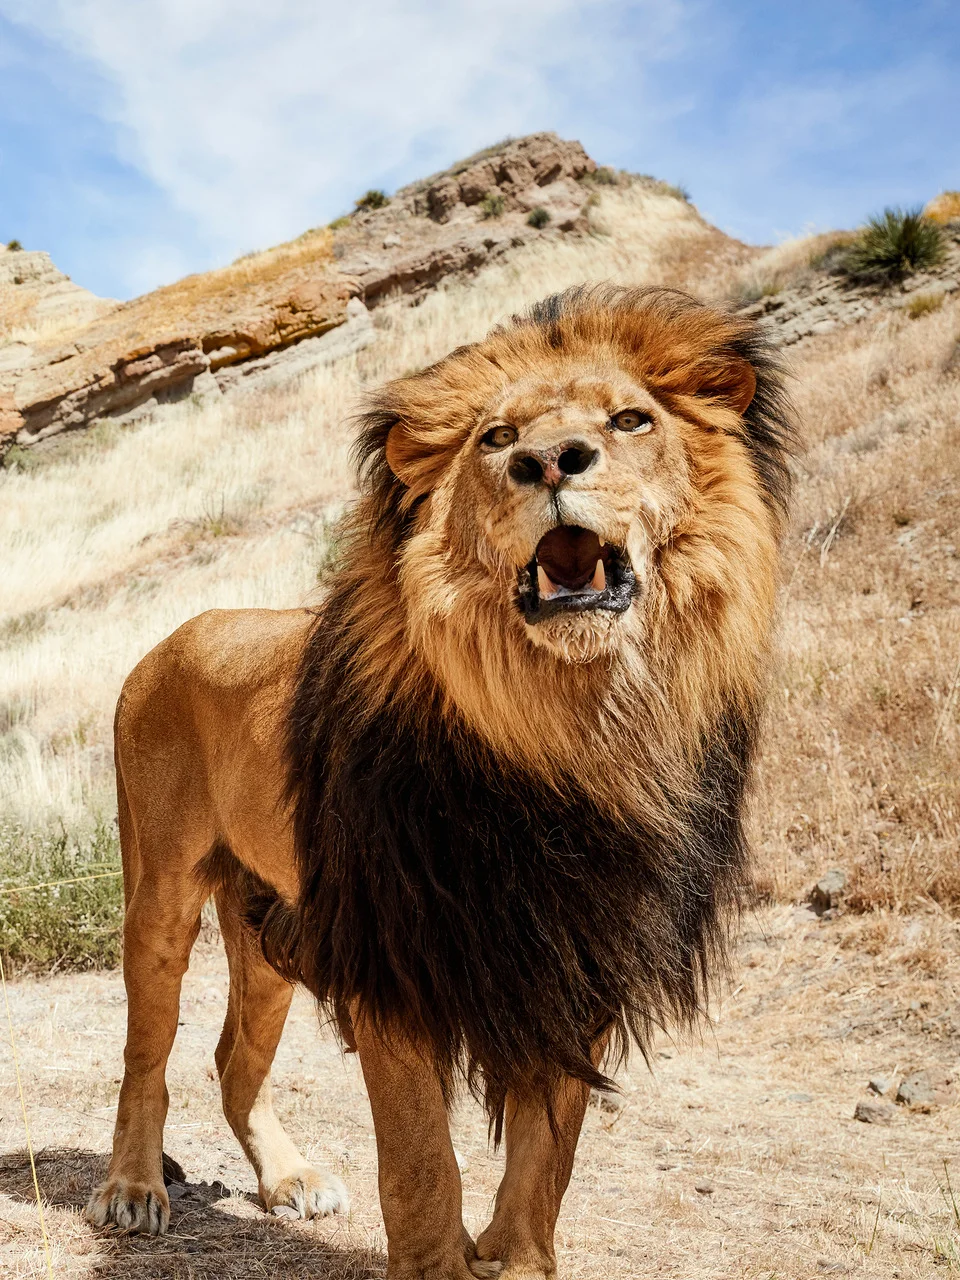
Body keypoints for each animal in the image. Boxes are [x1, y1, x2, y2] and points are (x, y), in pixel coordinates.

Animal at [86, 285, 795, 1279]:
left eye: (631, 420)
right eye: (497, 439)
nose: (550, 462)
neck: (565, 729)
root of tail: (176, 634)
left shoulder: (578, 953)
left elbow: (546, 1156)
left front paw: (518, 1259)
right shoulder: (396, 956)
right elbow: (423, 1161)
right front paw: (439, 1259)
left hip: (267, 922)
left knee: (233, 1061)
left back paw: (291, 1179)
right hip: (160, 895)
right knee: (145, 1056)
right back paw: (132, 1188)